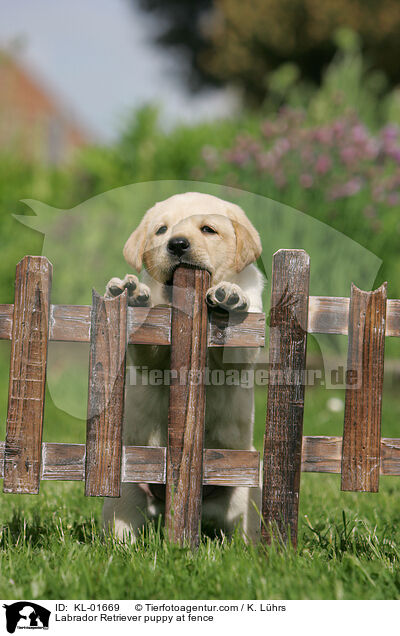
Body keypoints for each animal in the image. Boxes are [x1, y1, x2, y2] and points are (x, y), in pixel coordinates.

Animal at [102, 190, 262, 540]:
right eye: (161, 230)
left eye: (208, 230)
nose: (176, 244)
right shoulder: (152, 354)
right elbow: (147, 352)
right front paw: (133, 297)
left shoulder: (245, 346)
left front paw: (230, 299)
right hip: (126, 490)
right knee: (123, 526)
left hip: (246, 493)